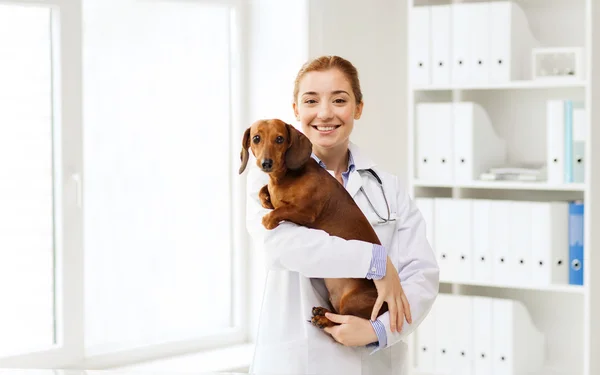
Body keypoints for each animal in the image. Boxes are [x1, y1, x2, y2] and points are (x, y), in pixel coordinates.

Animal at [239, 118, 390, 328]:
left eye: (280, 139)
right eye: (256, 138)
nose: (266, 163)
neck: (284, 178)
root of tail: (386, 307)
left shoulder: (306, 212)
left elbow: (280, 210)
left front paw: (269, 218)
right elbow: (263, 191)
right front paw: (266, 199)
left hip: (353, 301)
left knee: (343, 320)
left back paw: (323, 318)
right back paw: (322, 311)